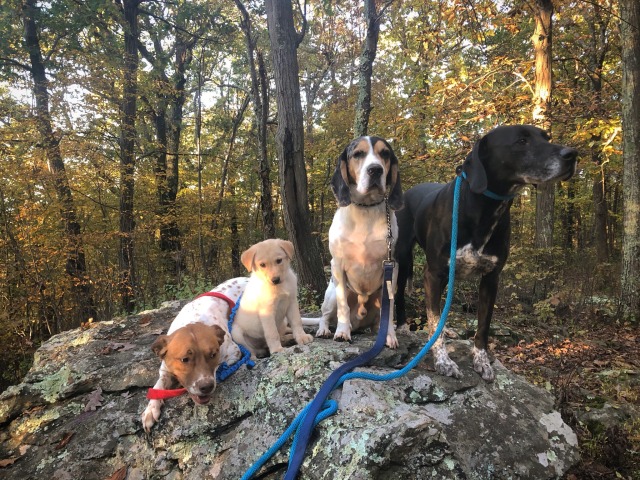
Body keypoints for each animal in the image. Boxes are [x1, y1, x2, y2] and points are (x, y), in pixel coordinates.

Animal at [140, 276, 248, 434]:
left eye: (213, 355)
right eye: (185, 359)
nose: (206, 387)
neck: (194, 320)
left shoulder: (234, 352)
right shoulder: (165, 370)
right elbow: (157, 387)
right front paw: (151, 409)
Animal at [304, 137, 400, 346]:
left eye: (385, 153)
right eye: (358, 154)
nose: (375, 170)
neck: (365, 208)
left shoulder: (392, 266)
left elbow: (389, 309)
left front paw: (390, 335)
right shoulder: (337, 265)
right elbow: (343, 308)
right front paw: (342, 332)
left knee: (379, 318)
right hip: (331, 293)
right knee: (324, 316)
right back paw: (326, 330)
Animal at [396, 125, 580, 380]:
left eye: (547, 137)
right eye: (521, 140)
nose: (572, 154)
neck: (484, 209)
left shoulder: (491, 278)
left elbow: (482, 326)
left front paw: (481, 360)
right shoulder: (432, 273)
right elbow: (433, 321)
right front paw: (443, 361)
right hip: (404, 259)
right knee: (400, 295)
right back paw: (402, 327)